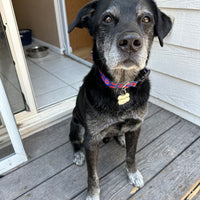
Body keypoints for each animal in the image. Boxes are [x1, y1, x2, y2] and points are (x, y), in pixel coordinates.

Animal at [69, 0, 172, 199]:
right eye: (107, 18)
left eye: (146, 19)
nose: (130, 42)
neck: (121, 85)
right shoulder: (92, 139)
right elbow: (92, 174)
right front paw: (92, 194)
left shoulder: (136, 125)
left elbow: (131, 156)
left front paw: (133, 174)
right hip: (76, 126)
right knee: (75, 142)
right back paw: (78, 155)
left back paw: (121, 138)